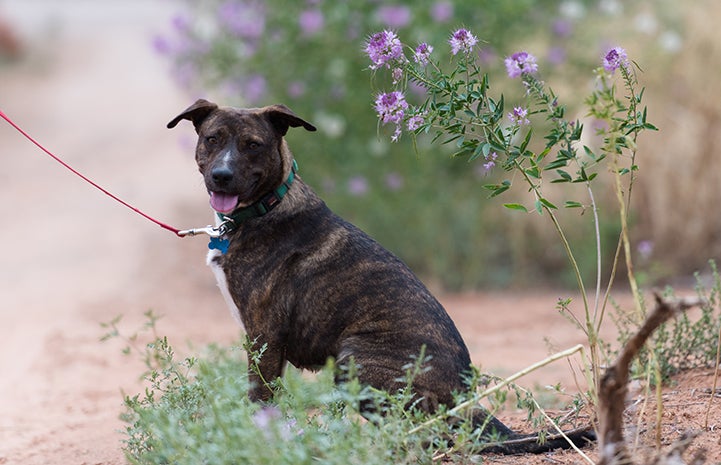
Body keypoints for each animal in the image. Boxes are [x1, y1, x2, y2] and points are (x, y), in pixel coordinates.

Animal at [169, 99, 596, 454]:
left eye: (253, 145)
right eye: (212, 139)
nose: (221, 175)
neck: (265, 207)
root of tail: (465, 397)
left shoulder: (265, 337)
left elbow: (260, 398)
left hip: (354, 360)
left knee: (428, 434)